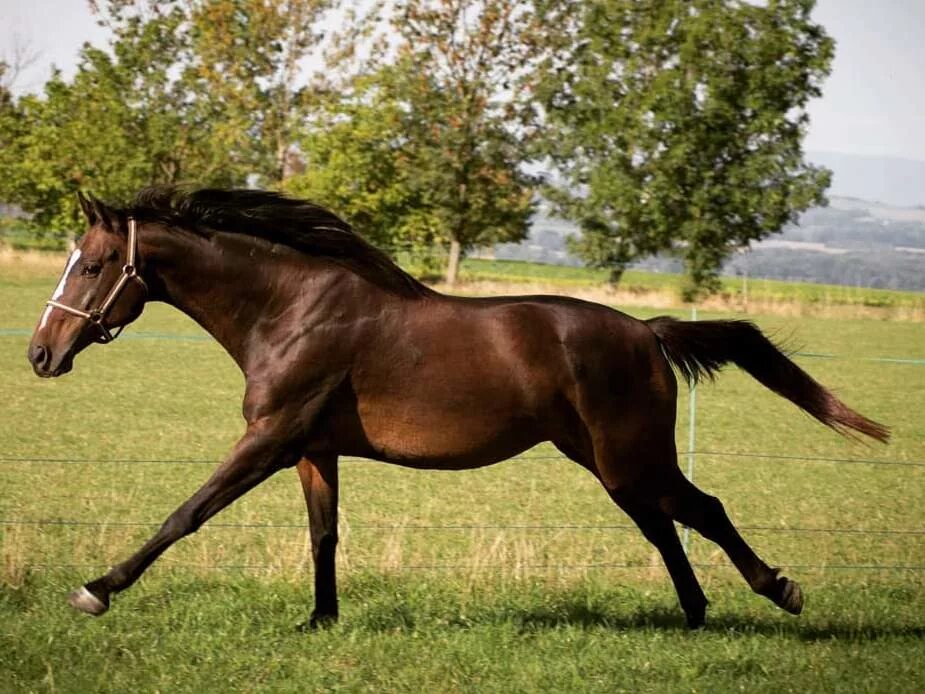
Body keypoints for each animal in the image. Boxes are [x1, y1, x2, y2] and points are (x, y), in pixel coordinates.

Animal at [27, 189, 888, 632]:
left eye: (94, 264)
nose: (40, 353)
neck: (290, 309)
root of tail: (647, 330)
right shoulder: (312, 449)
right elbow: (323, 536)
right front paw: (320, 621)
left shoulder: (268, 439)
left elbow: (186, 513)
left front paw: (96, 588)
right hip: (605, 461)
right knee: (663, 524)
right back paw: (695, 614)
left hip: (626, 455)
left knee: (700, 509)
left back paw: (776, 591)